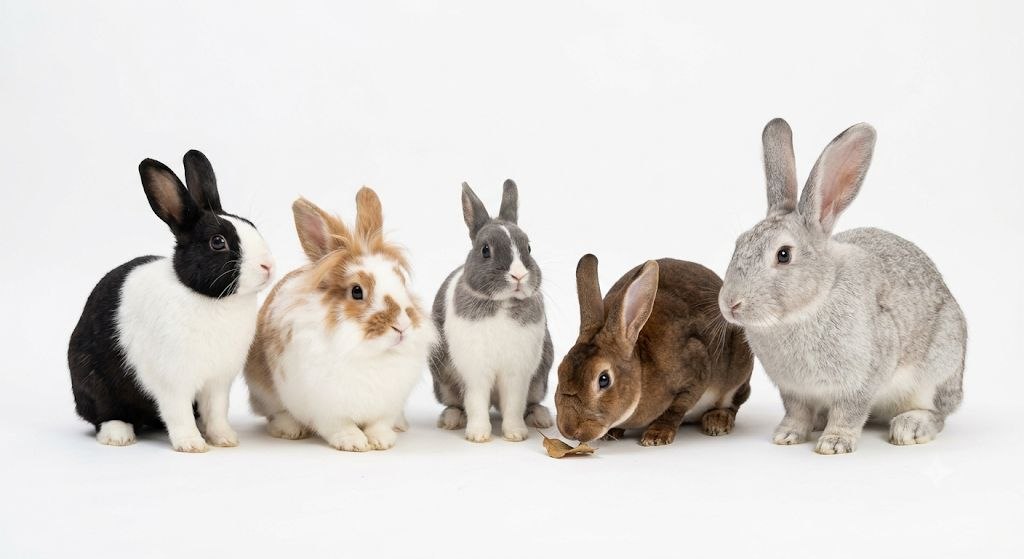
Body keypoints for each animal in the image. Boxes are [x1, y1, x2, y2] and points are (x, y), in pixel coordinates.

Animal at [67, 151, 275, 452]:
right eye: (218, 242)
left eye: (252, 226)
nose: (268, 266)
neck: (209, 299)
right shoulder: (172, 382)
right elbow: (178, 413)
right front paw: (191, 445)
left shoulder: (218, 382)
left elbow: (216, 411)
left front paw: (224, 439)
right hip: (93, 381)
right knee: (104, 413)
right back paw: (118, 435)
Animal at [245, 188, 435, 452]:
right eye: (357, 291)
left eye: (402, 281)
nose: (402, 327)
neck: (368, 353)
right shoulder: (325, 408)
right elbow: (339, 426)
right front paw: (354, 442)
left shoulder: (387, 404)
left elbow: (379, 423)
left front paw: (382, 440)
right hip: (263, 391)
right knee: (274, 413)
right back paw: (291, 429)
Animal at [430, 180, 554, 443]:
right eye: (485, 250)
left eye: (529, 247)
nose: (518, 275)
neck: (501, 304)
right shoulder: (475, 372)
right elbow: (476, 402)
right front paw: (478, 435)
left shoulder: (518, 373)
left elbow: (514, 405)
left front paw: (516, 434)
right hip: (443, 382)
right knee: (456, 403)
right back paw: (451, 419)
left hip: (540, 380)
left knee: (531, 403)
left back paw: (541, 417)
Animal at [555, 255, 753, 446]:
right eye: (560, 370)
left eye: (603, 379)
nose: (569, 429)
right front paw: (612, 433)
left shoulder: (697, 371)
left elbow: (676, 408)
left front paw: (656, 435)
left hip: (738, 377)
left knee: (733, 403)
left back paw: (717, 421)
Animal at [718, 118, 967, 455]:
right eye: (739, 243)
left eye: (783, 255)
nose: (730, 304)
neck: (811, 304)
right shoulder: (793, 390)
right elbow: (796, 412)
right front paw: (787, 436)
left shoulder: (861, 380)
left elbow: (849, 412)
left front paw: (834, 444)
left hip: (937, 370)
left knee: (938, 413)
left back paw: (910, 427)